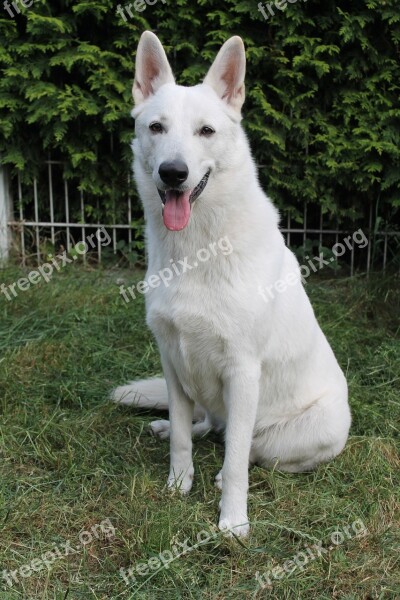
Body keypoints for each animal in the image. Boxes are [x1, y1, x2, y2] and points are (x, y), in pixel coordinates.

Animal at [111, 31, 350, 540]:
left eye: (206, 131)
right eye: (156, 127)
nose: (173, 173)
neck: (195, 251)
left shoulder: (242, 372)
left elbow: (239, 458)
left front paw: (232, 521)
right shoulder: (172, 359)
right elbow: (184, 438)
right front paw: (177, 484)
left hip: (317, 428)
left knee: (251, 448)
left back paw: (224, 473)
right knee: (206, 425)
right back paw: (170, 429)